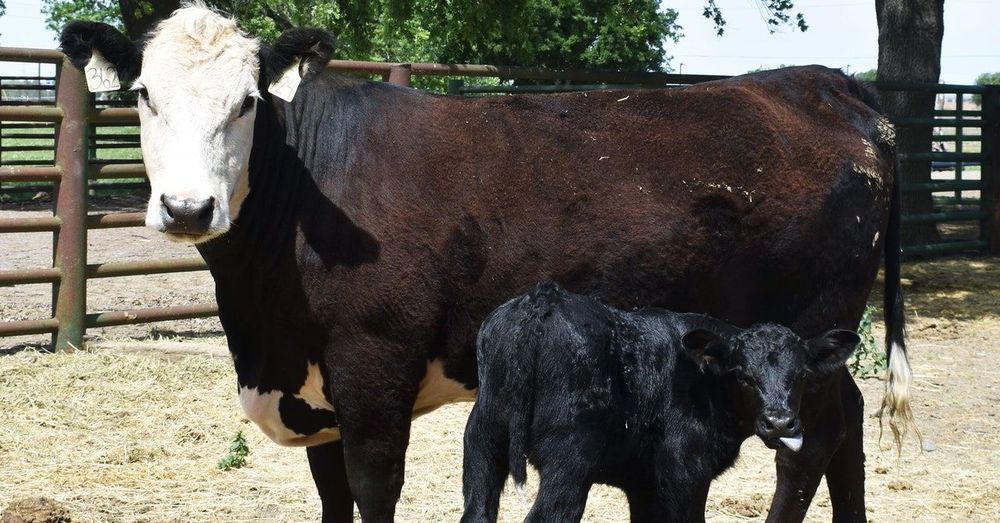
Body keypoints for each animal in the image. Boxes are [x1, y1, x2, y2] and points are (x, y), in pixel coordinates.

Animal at [464, 282, 860, 523]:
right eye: (743, 376)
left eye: (802, 375)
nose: (779, 422)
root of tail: (543, 298)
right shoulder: (685, 470)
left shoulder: (644, 482)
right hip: (570, 459)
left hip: (482, 440)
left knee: (477, 512)